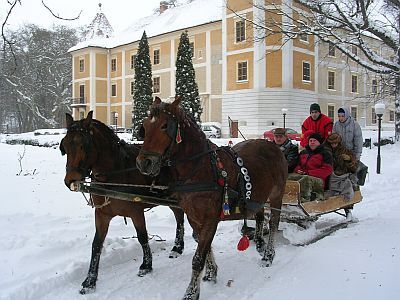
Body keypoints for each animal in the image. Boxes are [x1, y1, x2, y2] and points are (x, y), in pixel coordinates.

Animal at [60, 111, 185, 294]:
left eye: (83, 145)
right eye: (65, 146)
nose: (70, 181)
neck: (114, 174)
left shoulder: (136, 212)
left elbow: (142, 237)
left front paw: (146, 265)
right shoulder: (102, 214)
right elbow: (97, 244)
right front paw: (90, 280)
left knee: (180, 217)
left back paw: (178, 247)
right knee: (179, 216)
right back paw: (178, 246)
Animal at [137, 97, 288, 298]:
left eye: (165, 126)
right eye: (145, 126)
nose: (143, 163)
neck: (199, 169)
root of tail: (272, 145)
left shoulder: (210, 219)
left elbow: (198, 257)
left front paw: (191, 293)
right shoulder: (194, 218)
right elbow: (202, 243)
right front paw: (211, 272)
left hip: (277, 194)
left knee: (273, 223)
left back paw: (269, 255)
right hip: (258, 195)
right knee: (259, 215)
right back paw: (259, 243)